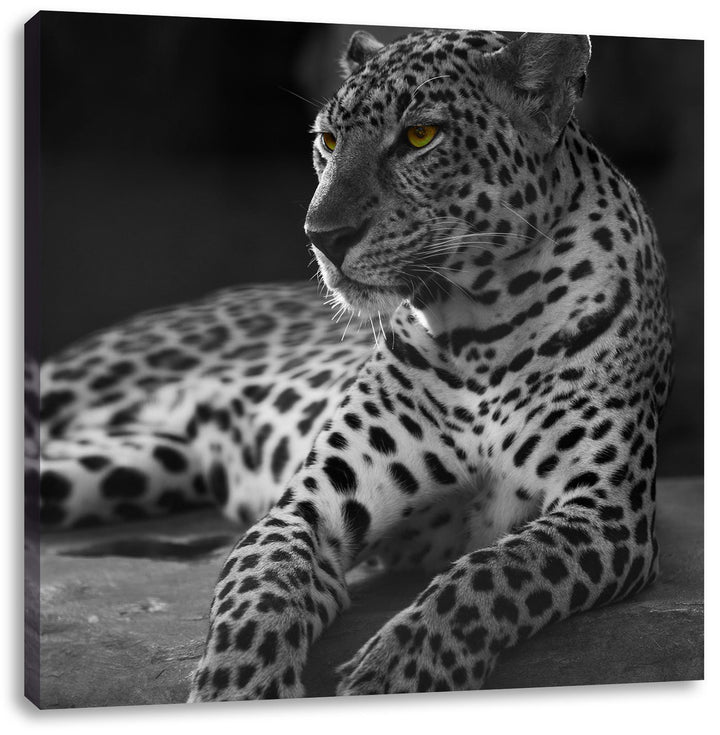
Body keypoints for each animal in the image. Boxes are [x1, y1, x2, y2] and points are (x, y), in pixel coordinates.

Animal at [33, 28, 673, 700]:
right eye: (329, 142)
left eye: (420, 137)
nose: (322, 236)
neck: (479, 328)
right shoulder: (309, 506)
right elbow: (262, 588)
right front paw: (239, 688)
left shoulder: (606, 511)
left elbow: (493, 573)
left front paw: (396, 674)